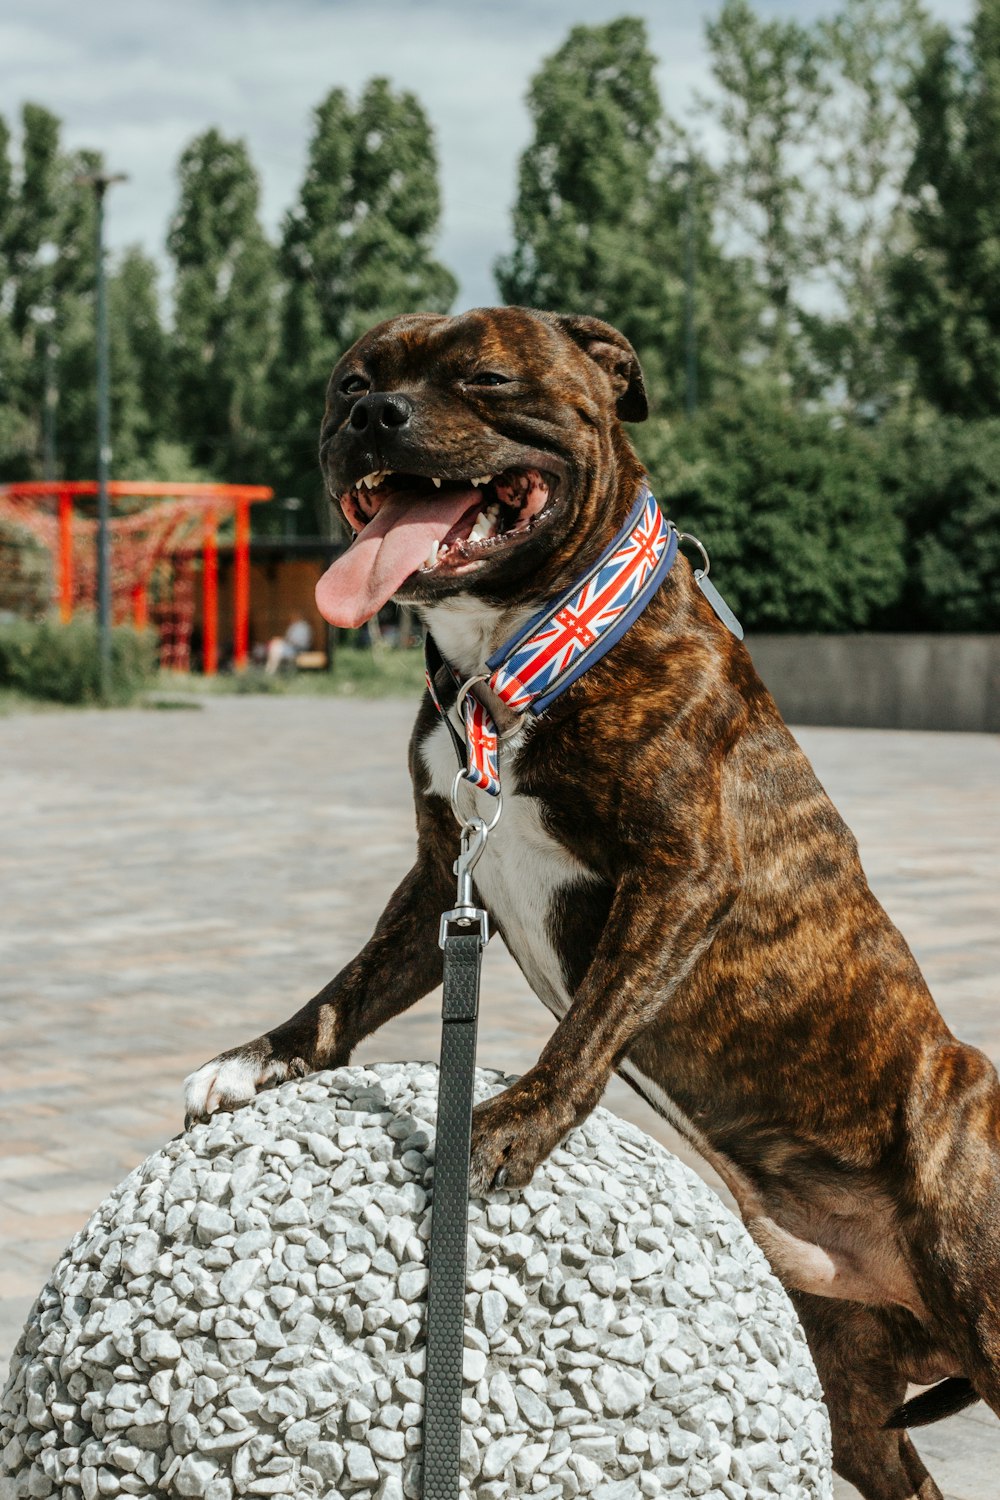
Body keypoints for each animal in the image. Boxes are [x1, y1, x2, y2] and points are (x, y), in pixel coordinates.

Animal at [187, 307, 1000, 1500]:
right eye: (350, 381)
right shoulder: (441, 880)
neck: (516, 653)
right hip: (852, 1387)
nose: (373, 415)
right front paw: (258, 1058)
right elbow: (348, 991)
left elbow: (592, 1021)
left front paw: (510, 1125)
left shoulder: (678, 874)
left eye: (486, 377)